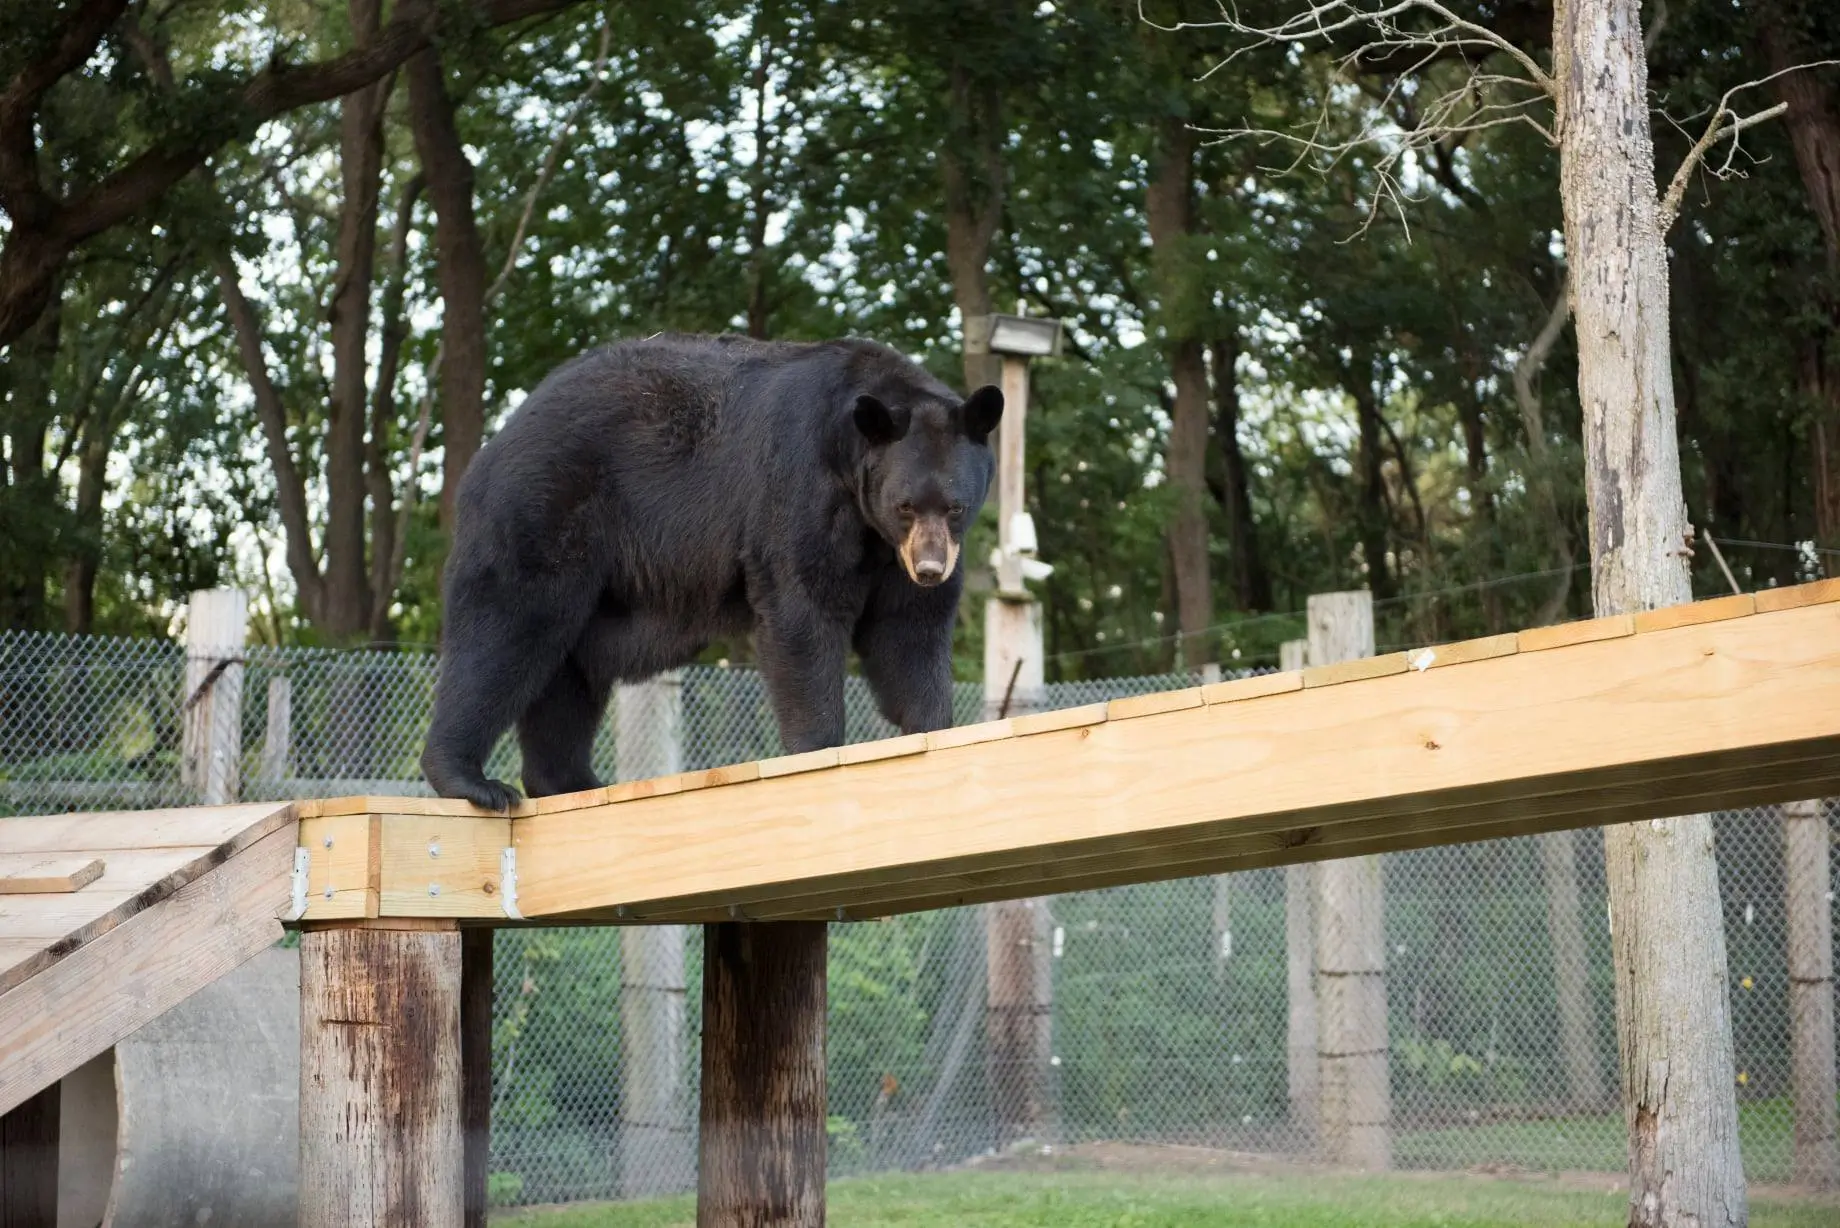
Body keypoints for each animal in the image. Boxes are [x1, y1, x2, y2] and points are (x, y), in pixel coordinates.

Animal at [420, 331, 1003, 810]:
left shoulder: (896, 555)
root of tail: (500, 438)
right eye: (905, 505)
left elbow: (908, 632)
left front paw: (932, 730)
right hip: (544, 507)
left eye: (954, 506)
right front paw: (818, 749)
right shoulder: (798, 490)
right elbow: (803, 611)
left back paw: (570, 781)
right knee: (505, 627)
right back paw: (471, 779)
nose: (929, 568)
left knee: (568, 672)